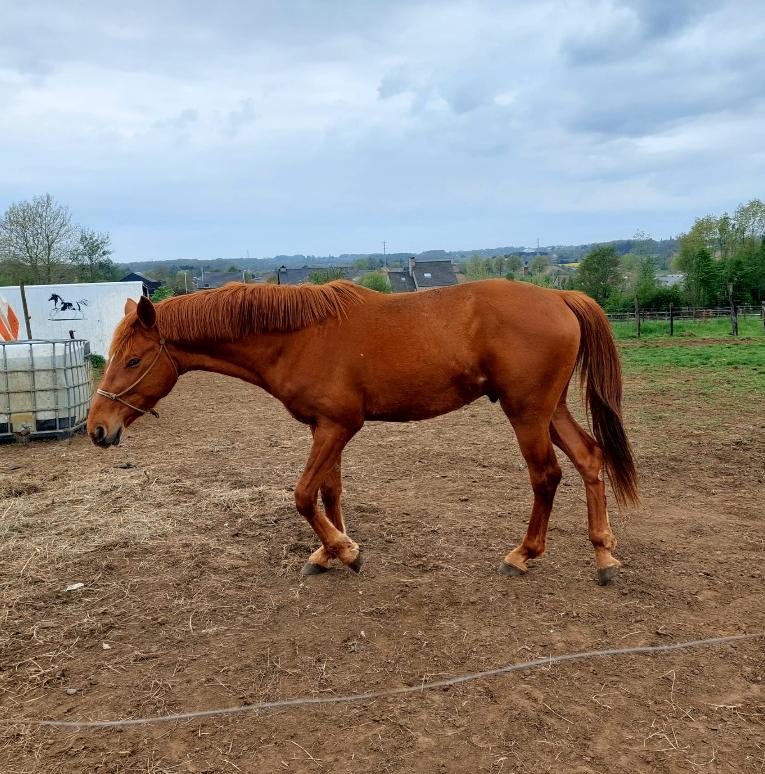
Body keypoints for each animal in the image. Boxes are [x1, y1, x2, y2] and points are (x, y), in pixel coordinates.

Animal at [87, 279, 637, 585]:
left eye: (133, 359)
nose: (97, 428)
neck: (298, 337)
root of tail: (559, 297)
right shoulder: (326, 429)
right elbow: (330, 491)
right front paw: (330, 553)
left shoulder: (337, 426)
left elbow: (304, 495)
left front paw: (345, 551)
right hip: (549, 410)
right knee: (590, 459)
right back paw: (603, 554)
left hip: (527, 414)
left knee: (546, 476)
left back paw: (523, 555)